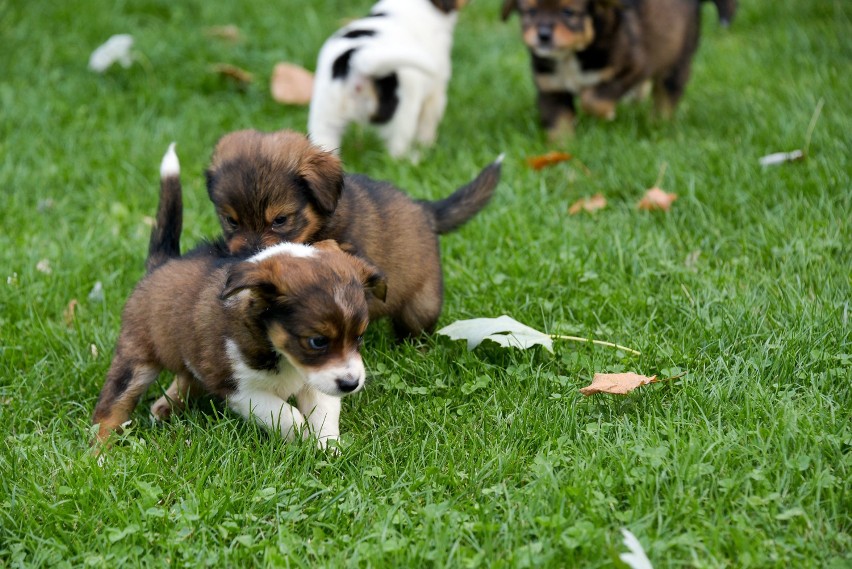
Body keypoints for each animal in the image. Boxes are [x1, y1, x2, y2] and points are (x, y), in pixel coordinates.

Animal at [92, 146, 386, 448]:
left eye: (359, 336)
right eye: (317, 341)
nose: (351, 384)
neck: (275, 346)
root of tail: (162, 263)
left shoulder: (316, 381)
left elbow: (323, 413)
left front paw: (328, 449)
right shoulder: (239, 388)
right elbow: (285, 414)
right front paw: (302, 437)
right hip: (136, 356)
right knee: (111, 406)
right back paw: (99, 452)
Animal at [203, 129, 502, 340]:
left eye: (280, 220)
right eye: (231, 220)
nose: (248, 255)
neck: (322, 222)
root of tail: (425, 209)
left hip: (421, 303)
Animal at [306, 0, 466, 160]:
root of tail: (358, 59)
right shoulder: (436, 92)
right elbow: (428, 125)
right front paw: (427, 147)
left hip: (325, 115)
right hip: (402, 117)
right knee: (396, 154)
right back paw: (414, 159)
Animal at [500, 0, 732, 138]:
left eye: (568, 12)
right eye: (530, 11)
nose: (543, 35)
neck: (570, 57)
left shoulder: (632, 67)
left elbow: (593, 99)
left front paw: (606, 114)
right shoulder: (551, 88)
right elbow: (559, 125)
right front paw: (561, 153)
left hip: (676, 62)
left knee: (666, 98)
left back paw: (657, 124)